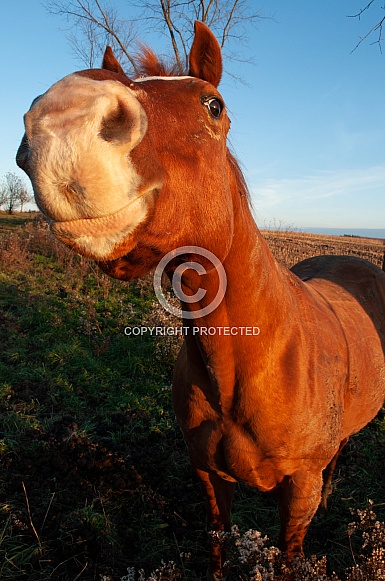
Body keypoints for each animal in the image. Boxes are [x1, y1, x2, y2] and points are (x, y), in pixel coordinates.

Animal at [16, 21, 384, 580]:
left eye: (214, 105)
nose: (64, 119)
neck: (248, 367)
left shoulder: (298, 491)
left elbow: (290, 552)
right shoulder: (208, 477)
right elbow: (217, 543)